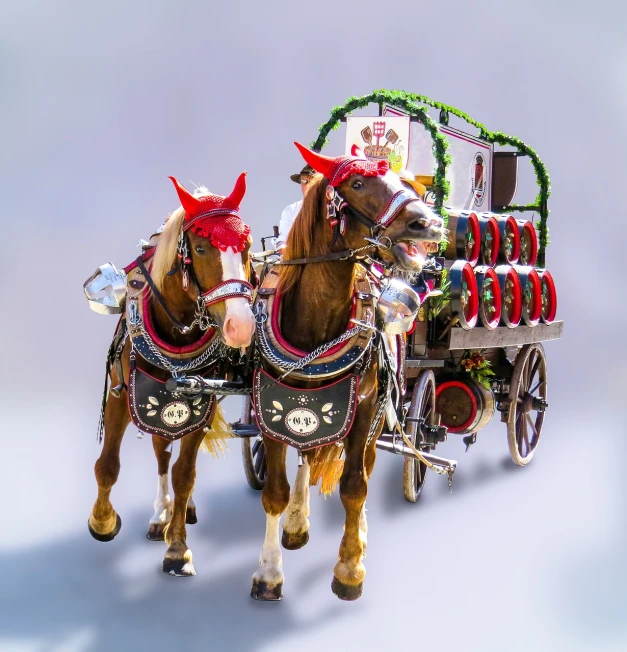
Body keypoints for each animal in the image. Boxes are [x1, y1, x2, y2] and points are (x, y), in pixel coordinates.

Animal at [87, 173, 256, 576]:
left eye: (246, 247)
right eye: (201, 247)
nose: (241, 326)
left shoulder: (201, 405)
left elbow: (185, 474)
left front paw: (178, 549)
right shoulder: (123, 394)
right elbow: (108, 465)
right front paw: (102, 521)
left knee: (173, 459)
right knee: (160, 451)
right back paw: (159, 516)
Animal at [251, 145, 446, 604]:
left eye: (404, 182)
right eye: (357, 183)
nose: (430, 223)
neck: (315, 327)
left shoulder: (364, 409)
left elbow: (355, 487)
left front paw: (350, 568)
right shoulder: (271, 411)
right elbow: (274, 493)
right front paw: (269, 573)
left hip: (380, 415)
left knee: (367, 468)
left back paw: (359, 537)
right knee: (307, 455)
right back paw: (297, 522)